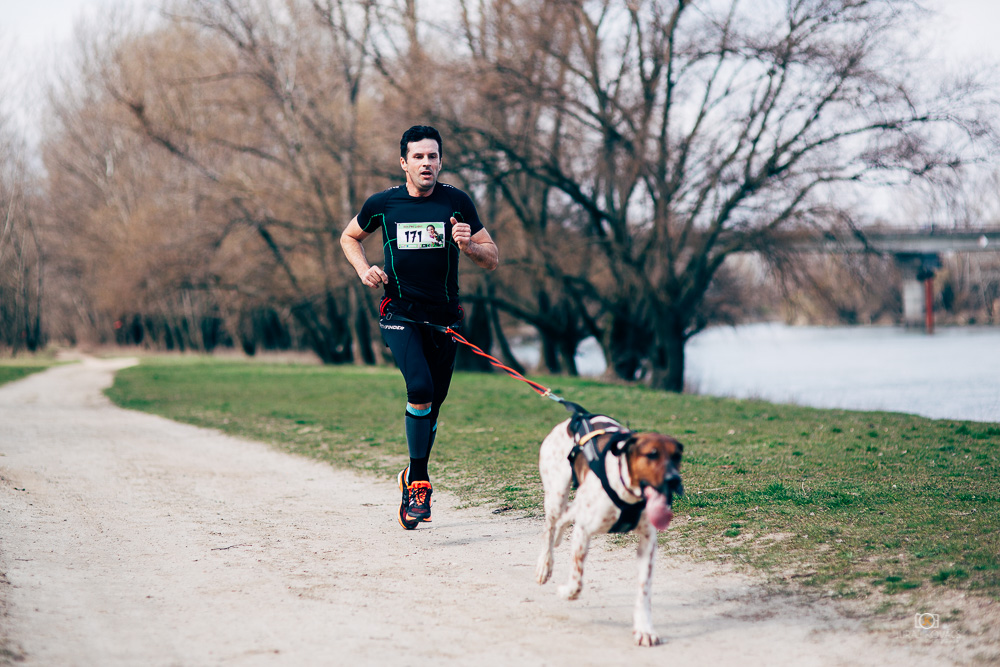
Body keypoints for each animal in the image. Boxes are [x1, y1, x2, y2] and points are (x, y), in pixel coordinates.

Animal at [534, 408, 683, 646]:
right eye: (652, 454)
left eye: (677, 457)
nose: (674, 480)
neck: (628, 492)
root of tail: (572, 418)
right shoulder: (583, 531)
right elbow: (577, 581)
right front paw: (566, 591)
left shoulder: (648, 541)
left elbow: (644, 590)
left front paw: (644, 629)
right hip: (556, 494)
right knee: (549, 529)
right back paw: (544, 565)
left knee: (565, 517)